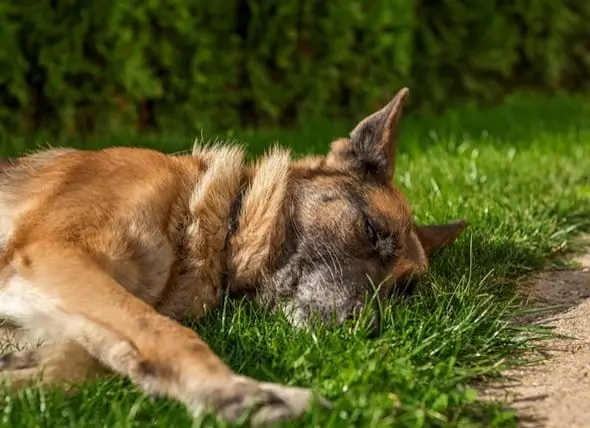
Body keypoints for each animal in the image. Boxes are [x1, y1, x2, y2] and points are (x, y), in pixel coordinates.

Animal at [0, 88, 468, 424]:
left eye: (402, 292)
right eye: (371, 231)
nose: (369, 329)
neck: (219, 217)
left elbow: (94, 353)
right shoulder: (52, 254)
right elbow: (168, 334)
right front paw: (243, 394)